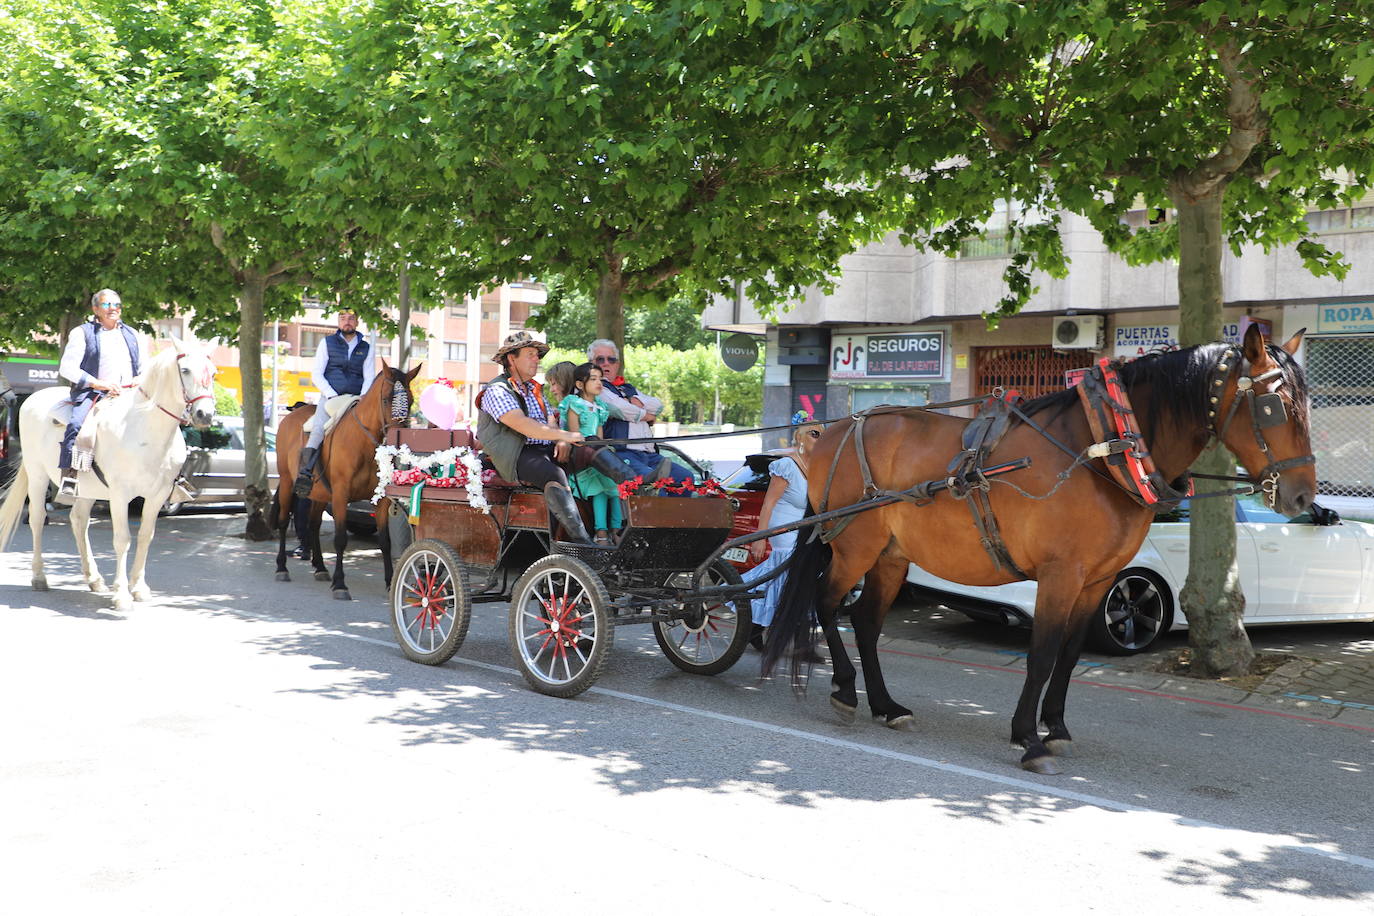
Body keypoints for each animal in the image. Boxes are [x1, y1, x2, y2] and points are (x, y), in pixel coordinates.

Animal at [0, 340, 217, 612]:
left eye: (214, 373)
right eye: (185, 370)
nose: (205, 415)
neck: (145, 430)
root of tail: (32, 399)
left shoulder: (156, 496)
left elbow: (145, 536)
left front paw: (139, 588)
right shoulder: (120, 495)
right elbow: (123, 539)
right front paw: (122, 595)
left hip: (87, 488)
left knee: (79, 520)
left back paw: (94, 578)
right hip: (38, 475)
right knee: (38, 519)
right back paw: (40, 577)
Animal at [269, 357, 414, 601]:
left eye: (411, 400)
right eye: (386, 399)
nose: (398, 441)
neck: (363, 444)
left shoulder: (381, 501)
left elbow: (385, 541)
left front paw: (389, 583)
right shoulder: (340, 495)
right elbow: (340, 539)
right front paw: (340, 584)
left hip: (319, 494)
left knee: (313, 525)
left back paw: (319, 567)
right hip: (288, 482)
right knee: (281, 522)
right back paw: (281, 568)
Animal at [769, 328, 1313, 774]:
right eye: (1274, 406)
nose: (1302, 498)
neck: (1106, 448)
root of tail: (831, 433)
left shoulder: (1098, 581)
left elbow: (1069, 655)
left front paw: (1057, 728)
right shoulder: (1060, 574)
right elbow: (1042, 653)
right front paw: (1028, 738)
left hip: (890, 556)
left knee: (864, 621)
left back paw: (885, 705)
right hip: (853, 545)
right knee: (827, 604)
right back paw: (845, 690)